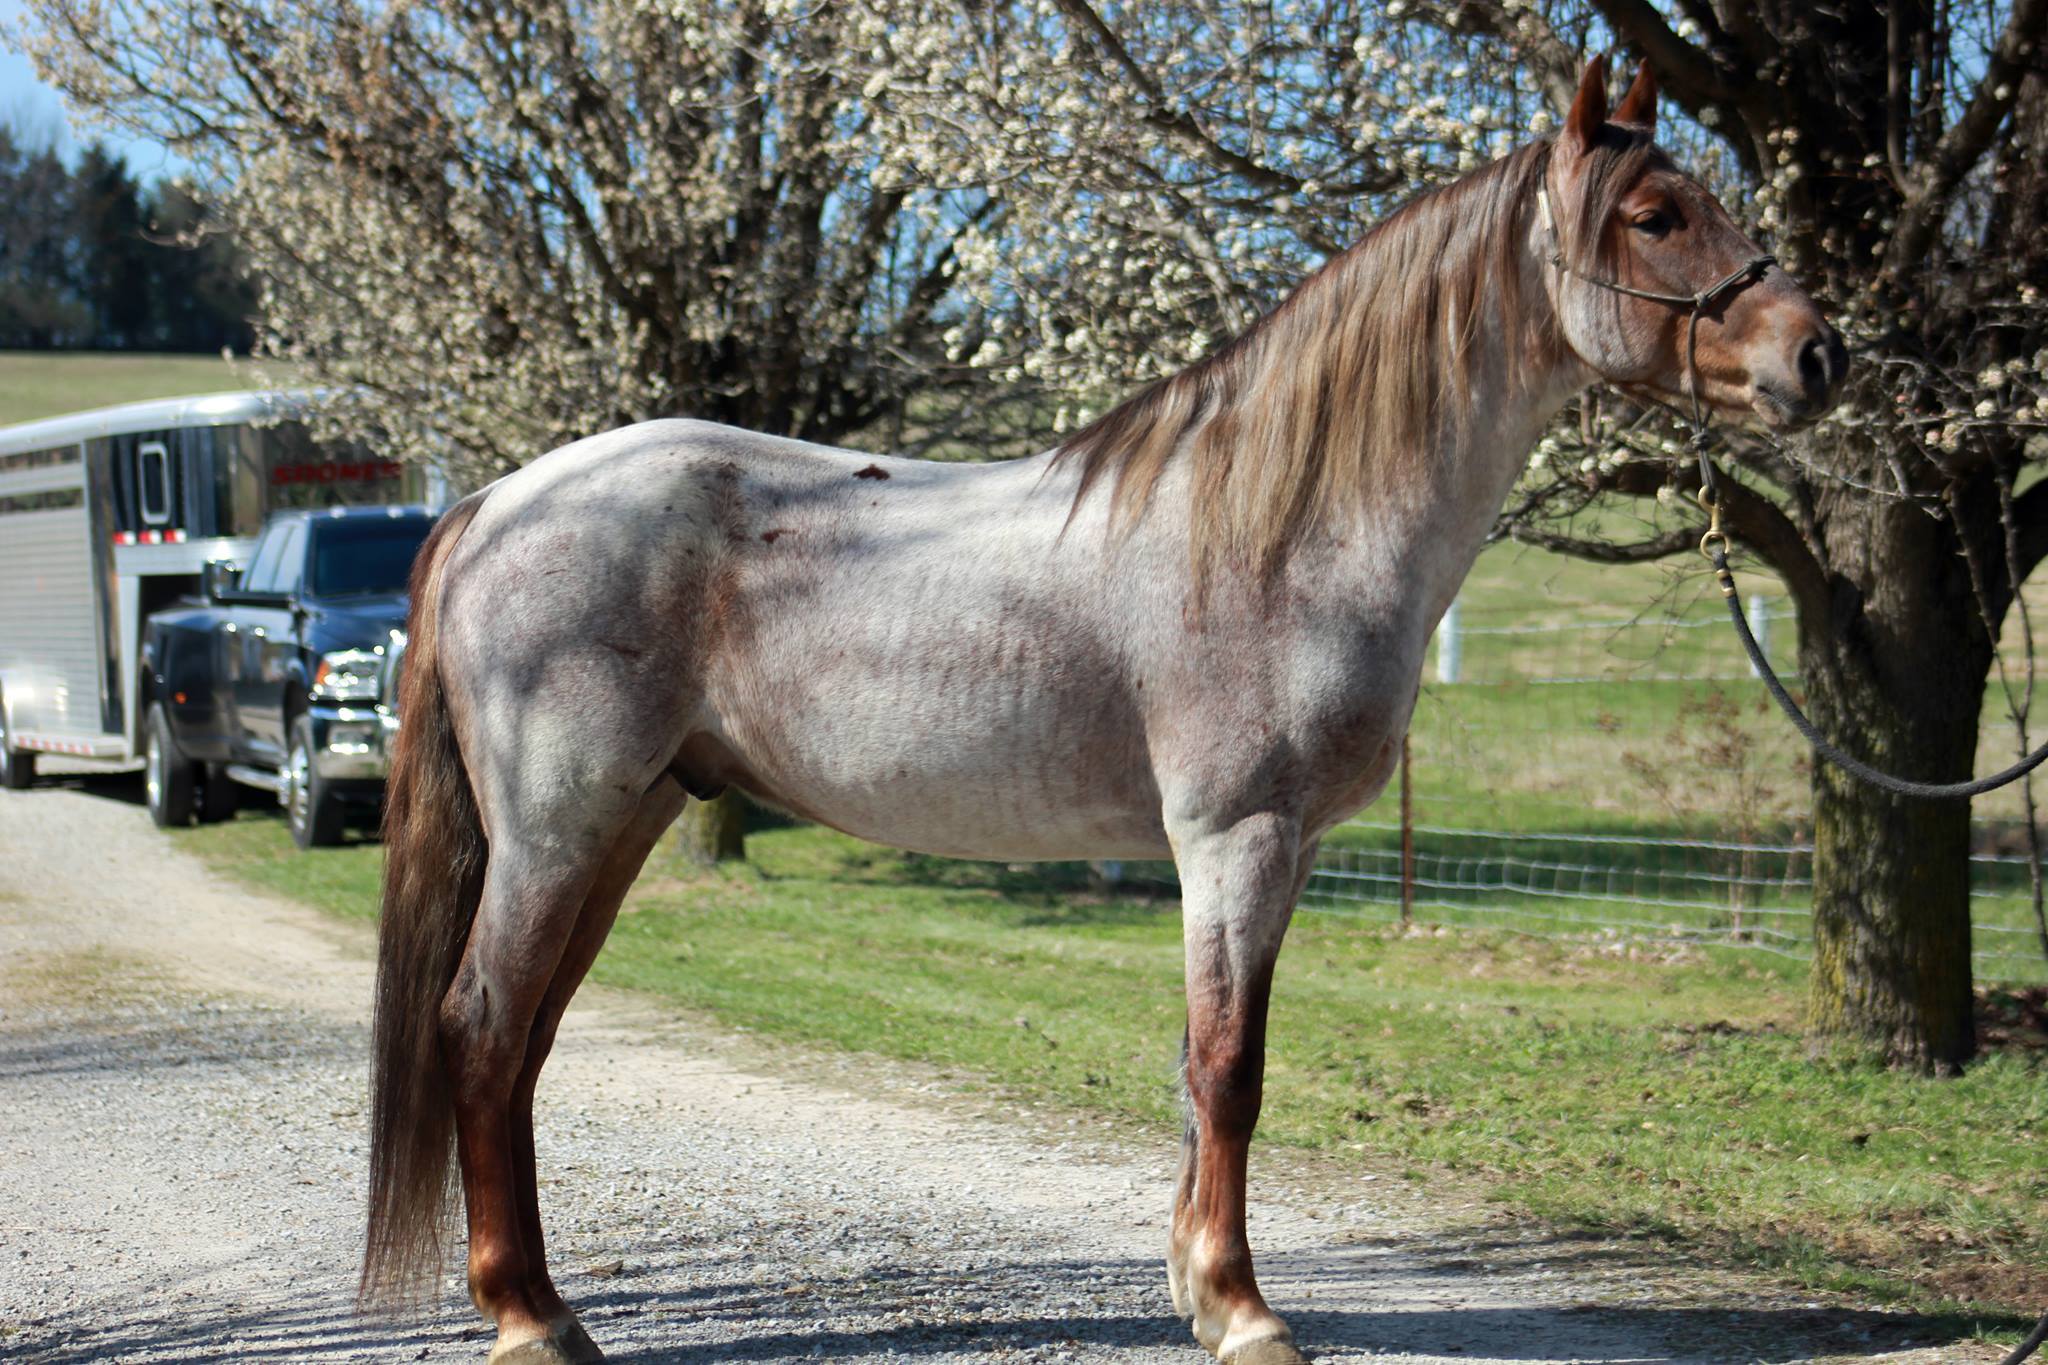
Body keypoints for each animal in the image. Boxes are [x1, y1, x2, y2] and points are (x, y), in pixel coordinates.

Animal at [360, 56, 1847, 1365]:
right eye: (1655, 216)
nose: (1817, 356)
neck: (1280, 528)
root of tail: (501, 502)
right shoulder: (1234, 838)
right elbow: (1229, 1068)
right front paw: (1243, 1311)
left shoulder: (1271, 853)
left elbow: (1209, 1068)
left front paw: (1196, 1284)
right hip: (559, 830)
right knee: (480, 1028)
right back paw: (528, 1320)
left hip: (619, 826)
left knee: (522, 1043)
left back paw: (546, 1303)